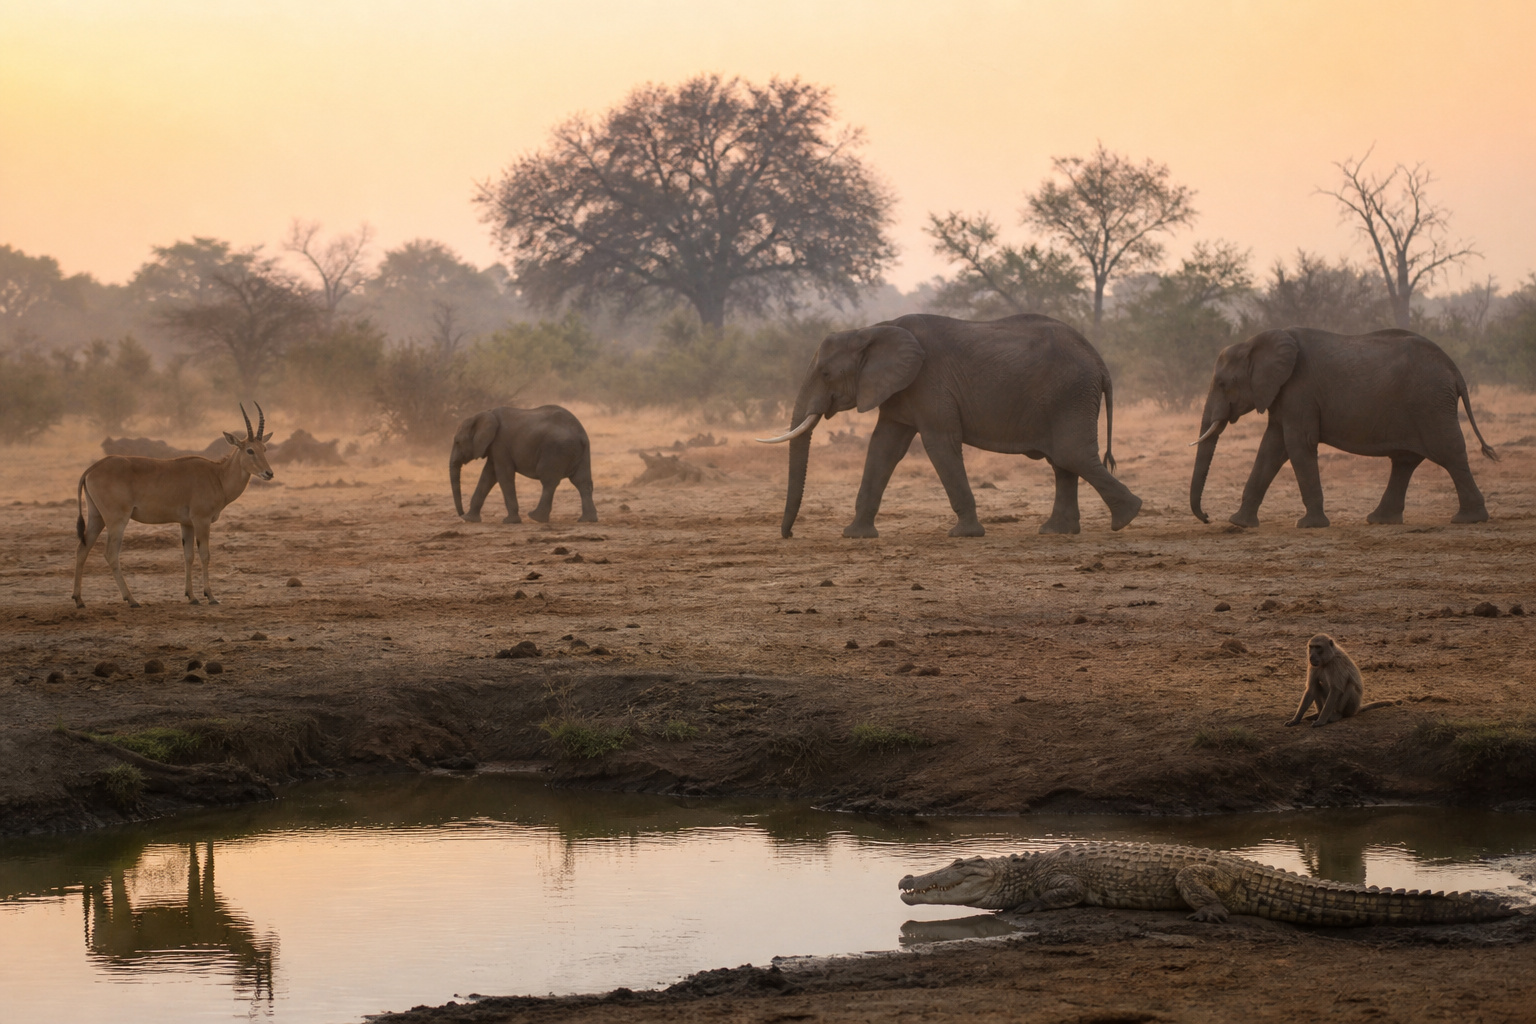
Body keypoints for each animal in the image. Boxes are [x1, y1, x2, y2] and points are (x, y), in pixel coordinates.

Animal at [449, 405, 597, 524]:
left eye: (457, 442)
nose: (461, 513)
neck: (485, 413)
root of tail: (581, 434)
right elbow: (488, 475)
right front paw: (469, 519)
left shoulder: (500, 444)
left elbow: (503, 475)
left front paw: (510, 521)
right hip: (581, 453)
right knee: (582, 482)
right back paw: (587, 520)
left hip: (556, 450)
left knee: (549, 481)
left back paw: (535, 518)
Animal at [759, 313, 1143, 538]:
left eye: (825, 374)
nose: (788, 535)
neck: (871, 329)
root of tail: (1099, 361)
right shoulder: (900, 390)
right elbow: (884, 447)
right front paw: (855, 535)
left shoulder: (929, 383)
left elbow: (939, 443)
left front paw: (965, 534)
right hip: (1067, 397)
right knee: (1064, 461)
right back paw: (1056, 531)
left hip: (1071, 394)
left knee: (1071, 455)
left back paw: (1126, 517)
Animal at [1189, 327, 1498, 529]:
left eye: (1222, 384)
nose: (1207, 517)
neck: (1255, 342)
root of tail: (1454, 370)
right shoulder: (1281, 395)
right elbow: (1271, 448)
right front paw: (1239, 523)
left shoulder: (1299, 390)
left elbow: (1298, 445)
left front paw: (1310, 525)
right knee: (1405, 461)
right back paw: (1380, 520)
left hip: (1431, 403)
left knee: (1449, 453)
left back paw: (1469, 519)